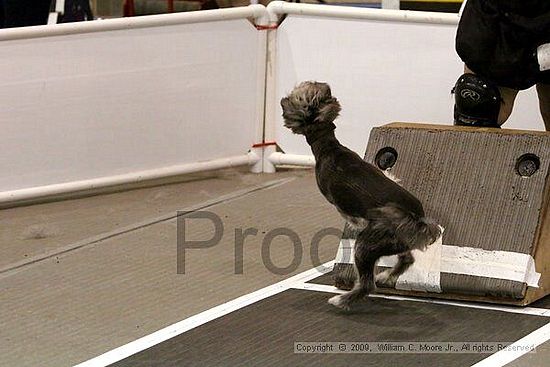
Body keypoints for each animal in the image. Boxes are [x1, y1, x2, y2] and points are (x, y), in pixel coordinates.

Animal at [280, 81, 444, 310]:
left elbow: (348, 215)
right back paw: (386, 276)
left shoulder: (337, 202)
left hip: (364, 247)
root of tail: (417, 221)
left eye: (298, 98)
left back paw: (341, 300)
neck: (329, 147)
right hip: (397, 245)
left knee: (367, 284)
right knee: (406, 260)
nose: (282, 100)